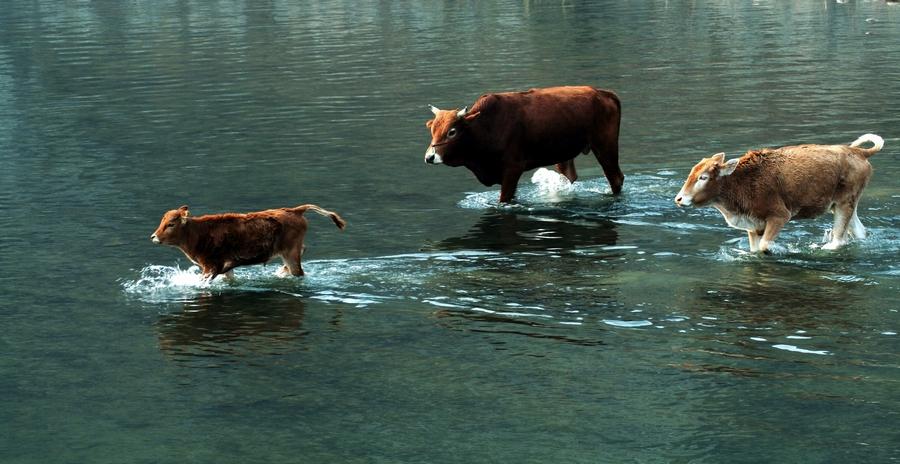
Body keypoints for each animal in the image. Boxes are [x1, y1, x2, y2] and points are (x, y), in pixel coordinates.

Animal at [149, 203, 346, 280]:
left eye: (171, 224)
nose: (153, 236)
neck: (197, 233)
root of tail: (296, 210)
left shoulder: (211, 266)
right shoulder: (224, 267)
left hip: (290, 252)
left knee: (298, 271)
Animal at [424, 86, 624, 202]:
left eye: (452, 131)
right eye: (432, 130)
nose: (429, 157)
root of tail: (603, 93)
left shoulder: (513, 168)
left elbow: (505, 198)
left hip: (605, 146)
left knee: (616, 178)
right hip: (565, 152)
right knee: (570, 175)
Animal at [672, 133, 884, 254]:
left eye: (703, 177)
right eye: (692, 172)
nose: (679, 198)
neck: (739, 186)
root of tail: (861, 153)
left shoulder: (780, 215)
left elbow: (766, 246)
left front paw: (783, 248)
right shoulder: (753, 226)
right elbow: (756, 250)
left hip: (844, 203)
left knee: (838, 239)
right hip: (842, 205)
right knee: (859, 231)